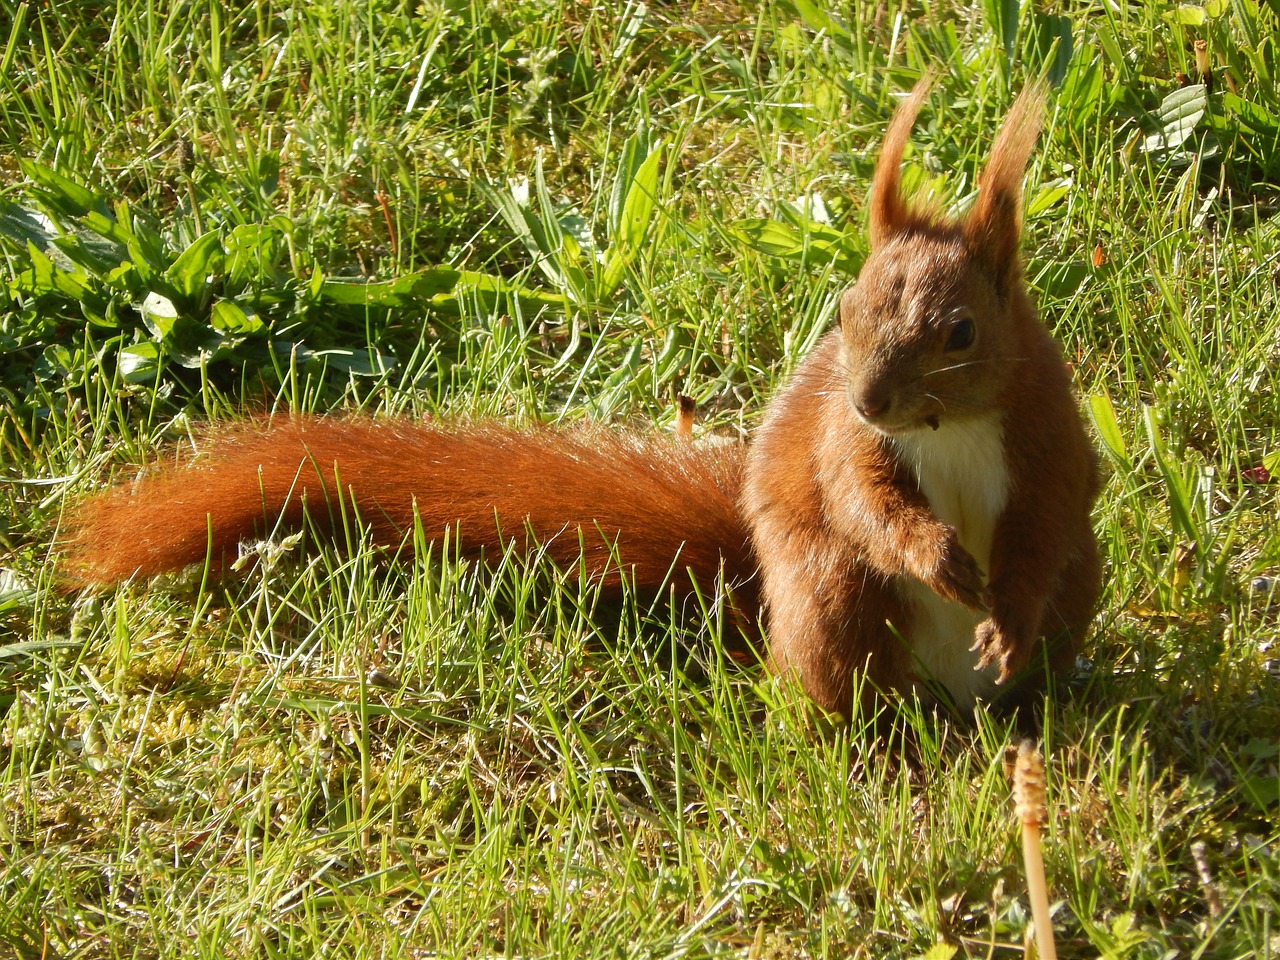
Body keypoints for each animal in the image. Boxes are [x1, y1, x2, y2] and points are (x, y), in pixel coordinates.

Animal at [60, 77, 1100, 721]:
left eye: (961, 332)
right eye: (843, 308)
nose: (872, 402)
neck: (950, 427)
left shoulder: (1045, 434)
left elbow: (1042, 526)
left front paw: (1002, 607)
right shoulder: (845, 449)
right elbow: (867, 503)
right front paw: (937, 553)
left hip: (1071, 596)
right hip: (834, 603)